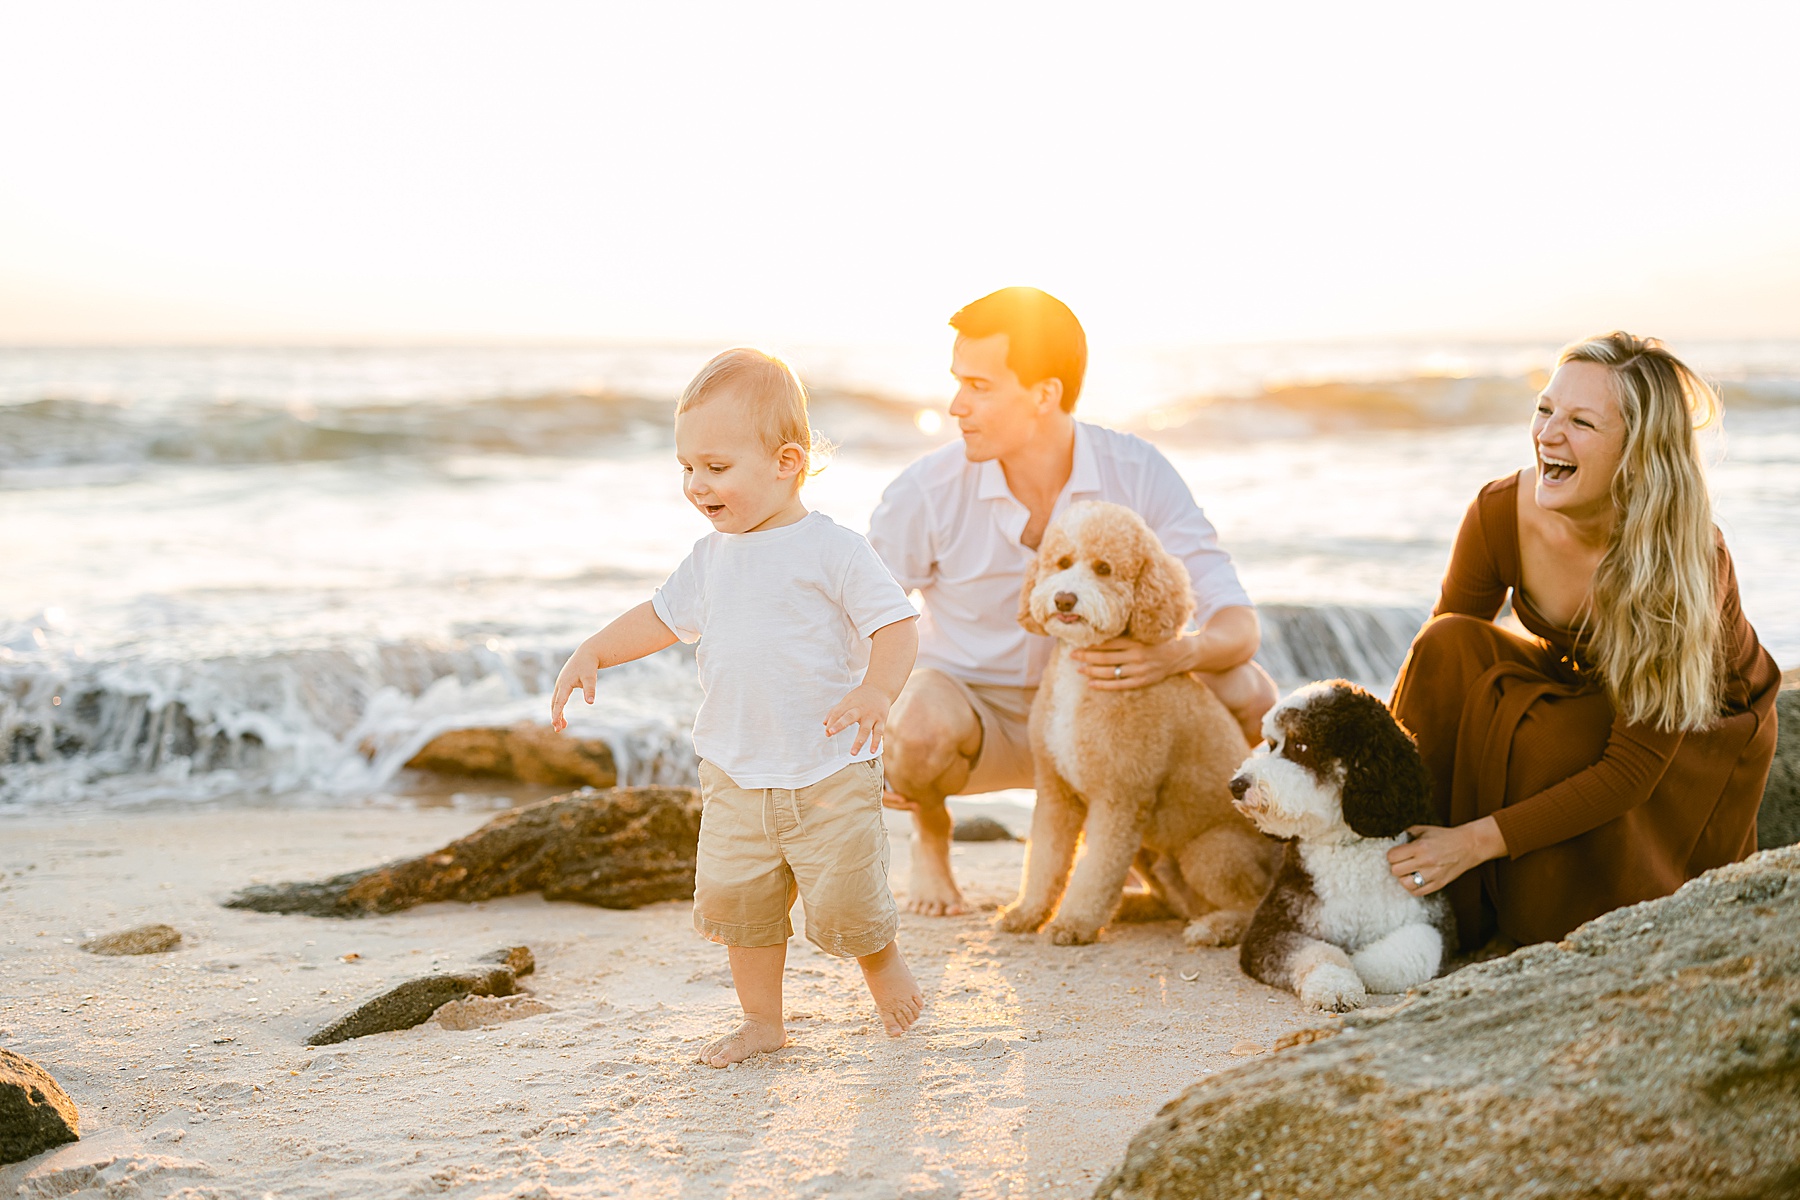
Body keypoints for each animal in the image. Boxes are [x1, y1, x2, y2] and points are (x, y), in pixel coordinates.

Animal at [993, 503, 1274, 942]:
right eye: (1062, 563)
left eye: (1104, 568)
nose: (1064, 598)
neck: (1081, 673)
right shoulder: (1056, 791)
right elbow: (1045, 858)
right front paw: (1028, 912)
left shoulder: (1119, 797)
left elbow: (1096, 868)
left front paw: (1073, 923)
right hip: (1149, 852)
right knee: (1172, 901)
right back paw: (1132, 906)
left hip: (1209, 851)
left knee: (1249, 904)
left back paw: (1213, 927)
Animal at [1231, 680, 1454, 1007]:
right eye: (1271, 745)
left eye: (1300, 746)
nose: (1236, 785)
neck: (1346, 845)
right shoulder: (1269, 928)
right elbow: (1318, 951)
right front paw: (1335, 984)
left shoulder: (1438, 925)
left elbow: (1412, 951)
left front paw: (1357, 963)